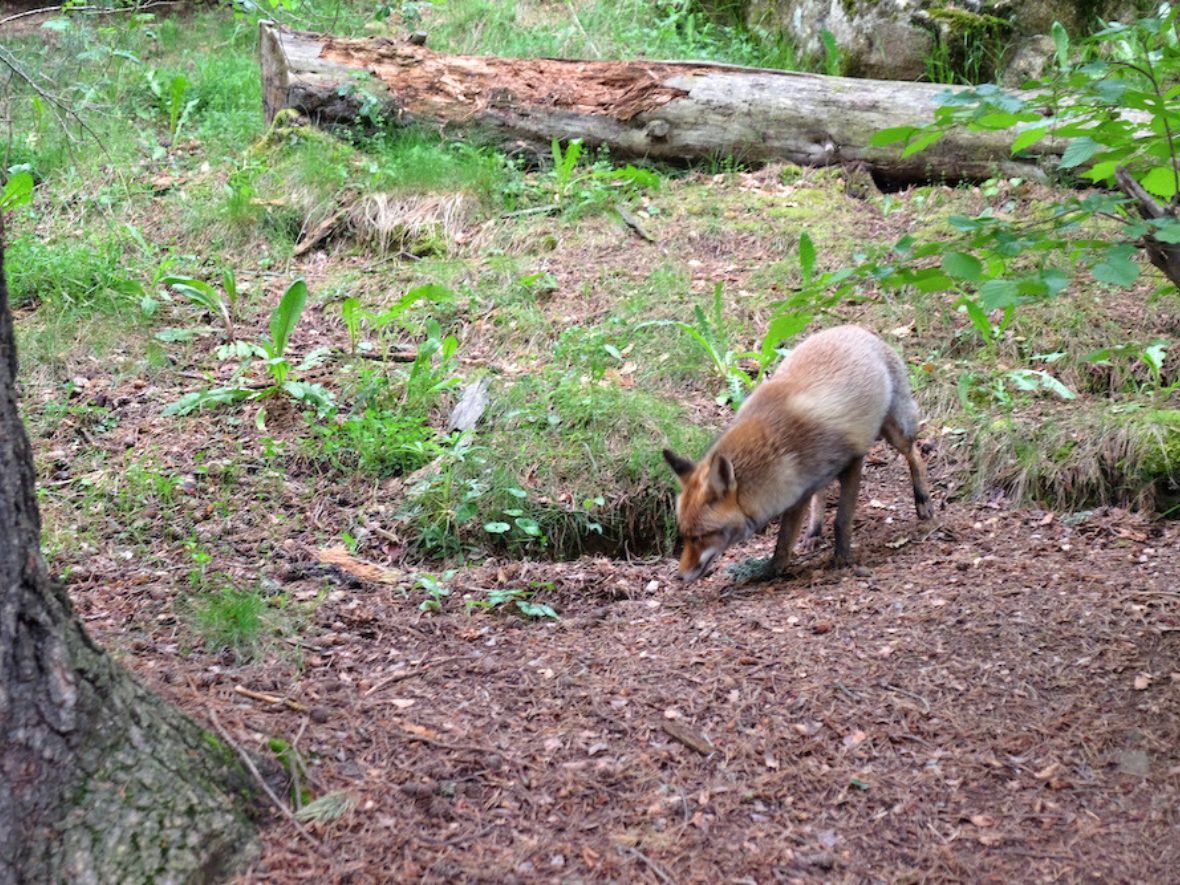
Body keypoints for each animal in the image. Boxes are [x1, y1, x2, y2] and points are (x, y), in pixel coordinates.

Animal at [665, 323, 929, 582]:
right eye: (685, 536)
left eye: (701, 537)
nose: (679, 577)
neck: (777, 446)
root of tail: (855, 328)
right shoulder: (797, 491)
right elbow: (783, 542)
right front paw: (771, 571)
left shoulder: (852, 461)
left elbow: (841, 521)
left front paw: (842, 558)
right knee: (821, 495)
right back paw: (814, 531)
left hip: (895, 431)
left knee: (915, 455)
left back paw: (923, 500)